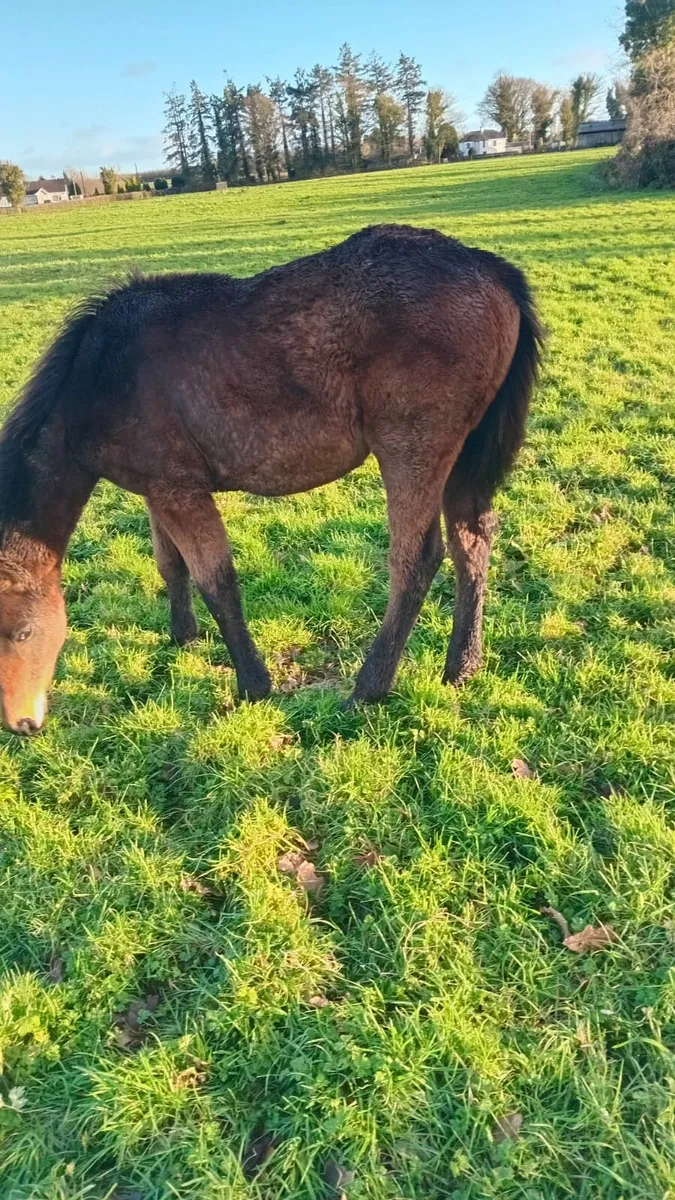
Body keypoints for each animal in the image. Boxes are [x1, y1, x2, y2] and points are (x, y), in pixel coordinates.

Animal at [0, 223, 542, 734]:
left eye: (22, 632)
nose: (22, 724)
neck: (101, 378)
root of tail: (491, 269)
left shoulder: (181, 491)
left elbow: (217, 582)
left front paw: (253, 684)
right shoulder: (157, 490)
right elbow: (170, 565)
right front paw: (183, 636)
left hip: (412, 449)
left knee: (416, 559)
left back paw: (369, 688)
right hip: (463, 457)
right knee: (472, 542)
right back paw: (462, 667)